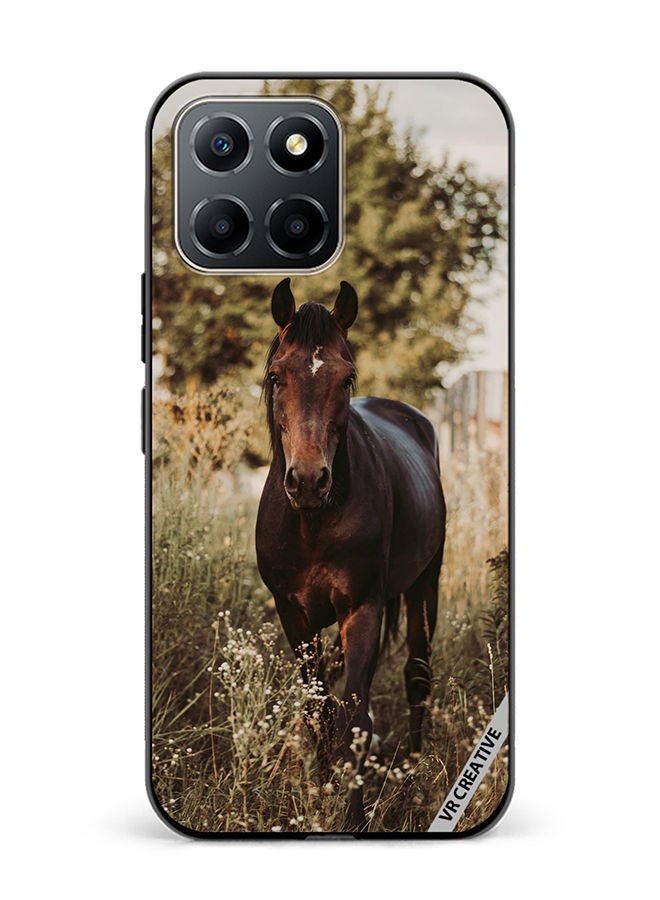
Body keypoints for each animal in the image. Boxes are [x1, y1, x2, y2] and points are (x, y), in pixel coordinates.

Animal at [255, 278, 446, 831]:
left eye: (347, 378)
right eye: (276, 376)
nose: (308, 480)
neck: (313, 521)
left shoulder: (362, 609)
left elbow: (356, 717)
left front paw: (354, 818)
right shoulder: (293, 616)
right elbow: (318, 711)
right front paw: (320, 795)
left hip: (425, 585)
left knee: (417, 677)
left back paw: (411, 773)